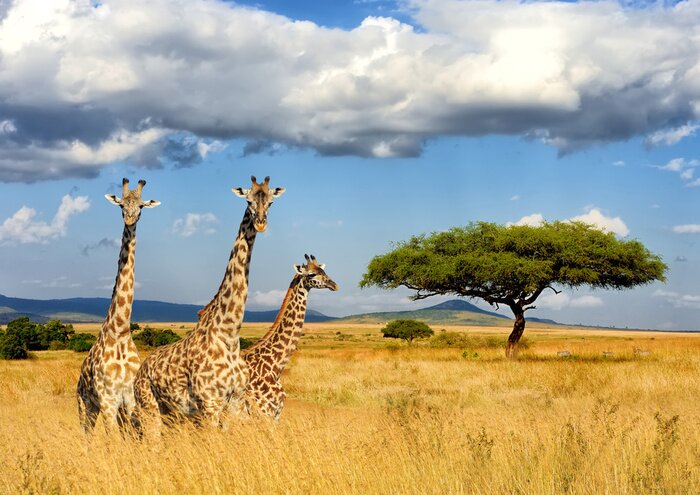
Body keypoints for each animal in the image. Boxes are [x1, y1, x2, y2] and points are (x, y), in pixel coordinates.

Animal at [76, 178, 160, 433]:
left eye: (141, 206)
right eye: (121, 205)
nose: (130, 219)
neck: (121, 330)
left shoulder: (129, 399)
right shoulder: (108, 400)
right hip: (85, 405)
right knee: (86, 434)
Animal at [134, 176, 284, 431]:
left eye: (271, 202)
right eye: (248, 200)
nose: (261, 224)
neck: (229, 335)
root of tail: (140, 371)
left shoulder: (235, 403)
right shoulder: (210, 404)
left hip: (171, 413)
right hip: (149, 407)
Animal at [240, 255, 338, 420]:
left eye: (324, 271)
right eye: (311, 274)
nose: (334, 285)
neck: (275, 367)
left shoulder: (276, 415)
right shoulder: (264, 413)